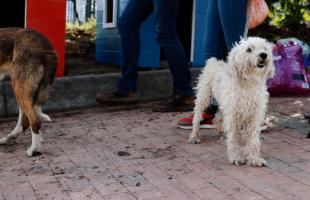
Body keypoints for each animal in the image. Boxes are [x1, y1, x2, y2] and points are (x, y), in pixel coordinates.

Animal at [0, 28, 57, 156]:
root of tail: (45, 46)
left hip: (19, 87)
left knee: (34, 120)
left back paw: (33, 149)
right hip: (24, 90)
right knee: (26, 120)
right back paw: (10, 138)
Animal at [190, 37, 274, 167]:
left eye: (264, 48)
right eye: (249, 49)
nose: (263, 55)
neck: (248, 84)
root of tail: (213, 61)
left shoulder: (254, 115)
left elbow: (253, 139)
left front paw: (254, 158)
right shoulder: (233, 114)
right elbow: (233, 138)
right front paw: (235, 157)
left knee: (218, 117)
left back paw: (220, 130)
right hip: (203, 98)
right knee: (197, 118)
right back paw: (194, 136)